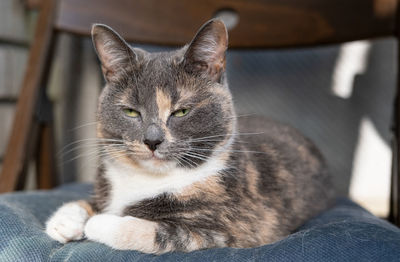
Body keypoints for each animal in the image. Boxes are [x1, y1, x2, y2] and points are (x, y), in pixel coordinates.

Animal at [46, 18, 334, 254]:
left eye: (181, 111)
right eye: (131, 111)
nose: (152, 140)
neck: (149, 179)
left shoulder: (232, 230)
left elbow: (147, 231)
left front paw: (98, 222)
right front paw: (65, 221)